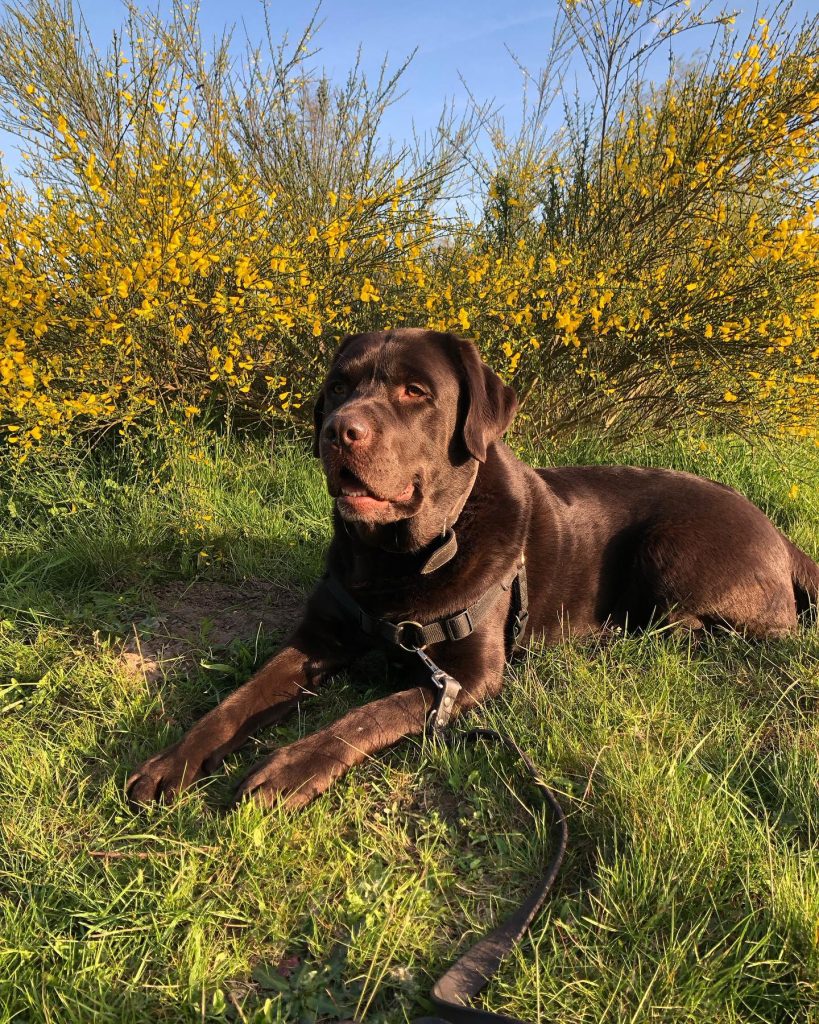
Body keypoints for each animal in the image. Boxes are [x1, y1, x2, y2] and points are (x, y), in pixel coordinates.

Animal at [124, 327, 814, 806]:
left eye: (414, 392)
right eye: (340, 386)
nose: (338, 431)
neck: (402, 557)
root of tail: (780, 534)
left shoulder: (467, 677)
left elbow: (365, 715)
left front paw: (288, 767)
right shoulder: (318, 637)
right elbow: (238, 700)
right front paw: (170, 762)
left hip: (667, 549)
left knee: (735, 630)